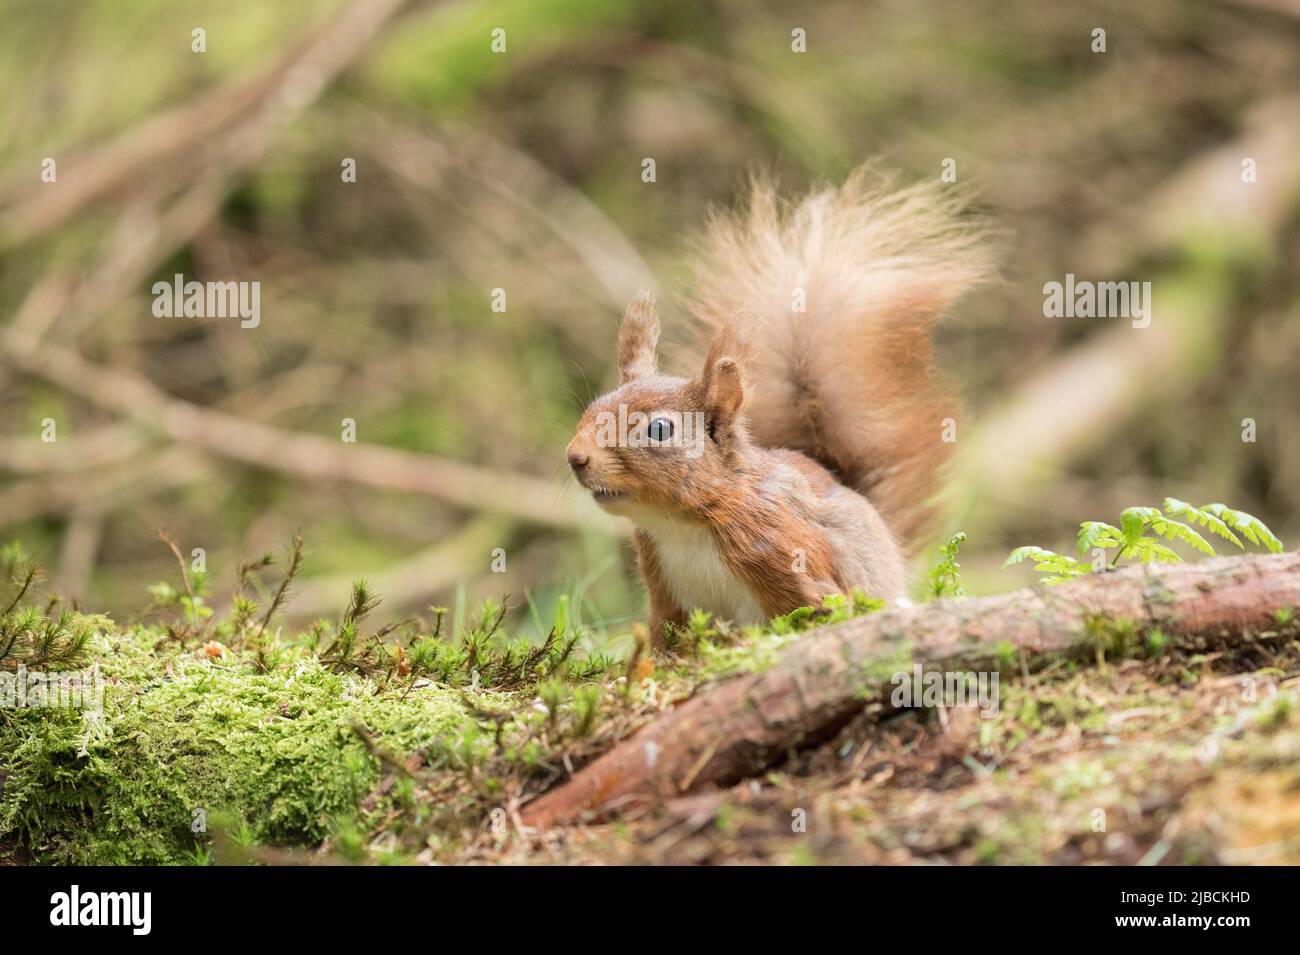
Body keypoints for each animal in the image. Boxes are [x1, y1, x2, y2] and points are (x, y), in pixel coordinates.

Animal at [566, 167, 991, 643]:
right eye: (592, 407)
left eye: (659, 429)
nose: (576, 457)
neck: (682, 525)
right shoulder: (666, 597)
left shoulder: (786, 551)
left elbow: (817, 609)